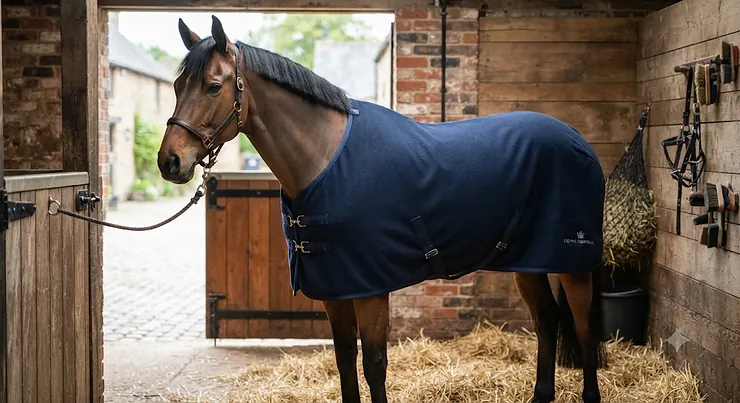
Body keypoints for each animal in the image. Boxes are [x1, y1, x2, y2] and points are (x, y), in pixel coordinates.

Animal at [157, 15, 608, 403]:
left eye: (213, 87)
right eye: (177, 86)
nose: (169, 162)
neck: (327, 159)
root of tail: (577, 141)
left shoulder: (370, 288)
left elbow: (374, 365)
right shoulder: (336, 290)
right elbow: (344, 361)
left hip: (572, 263)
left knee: (585, 328)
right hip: (527, 262)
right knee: (547, 320)